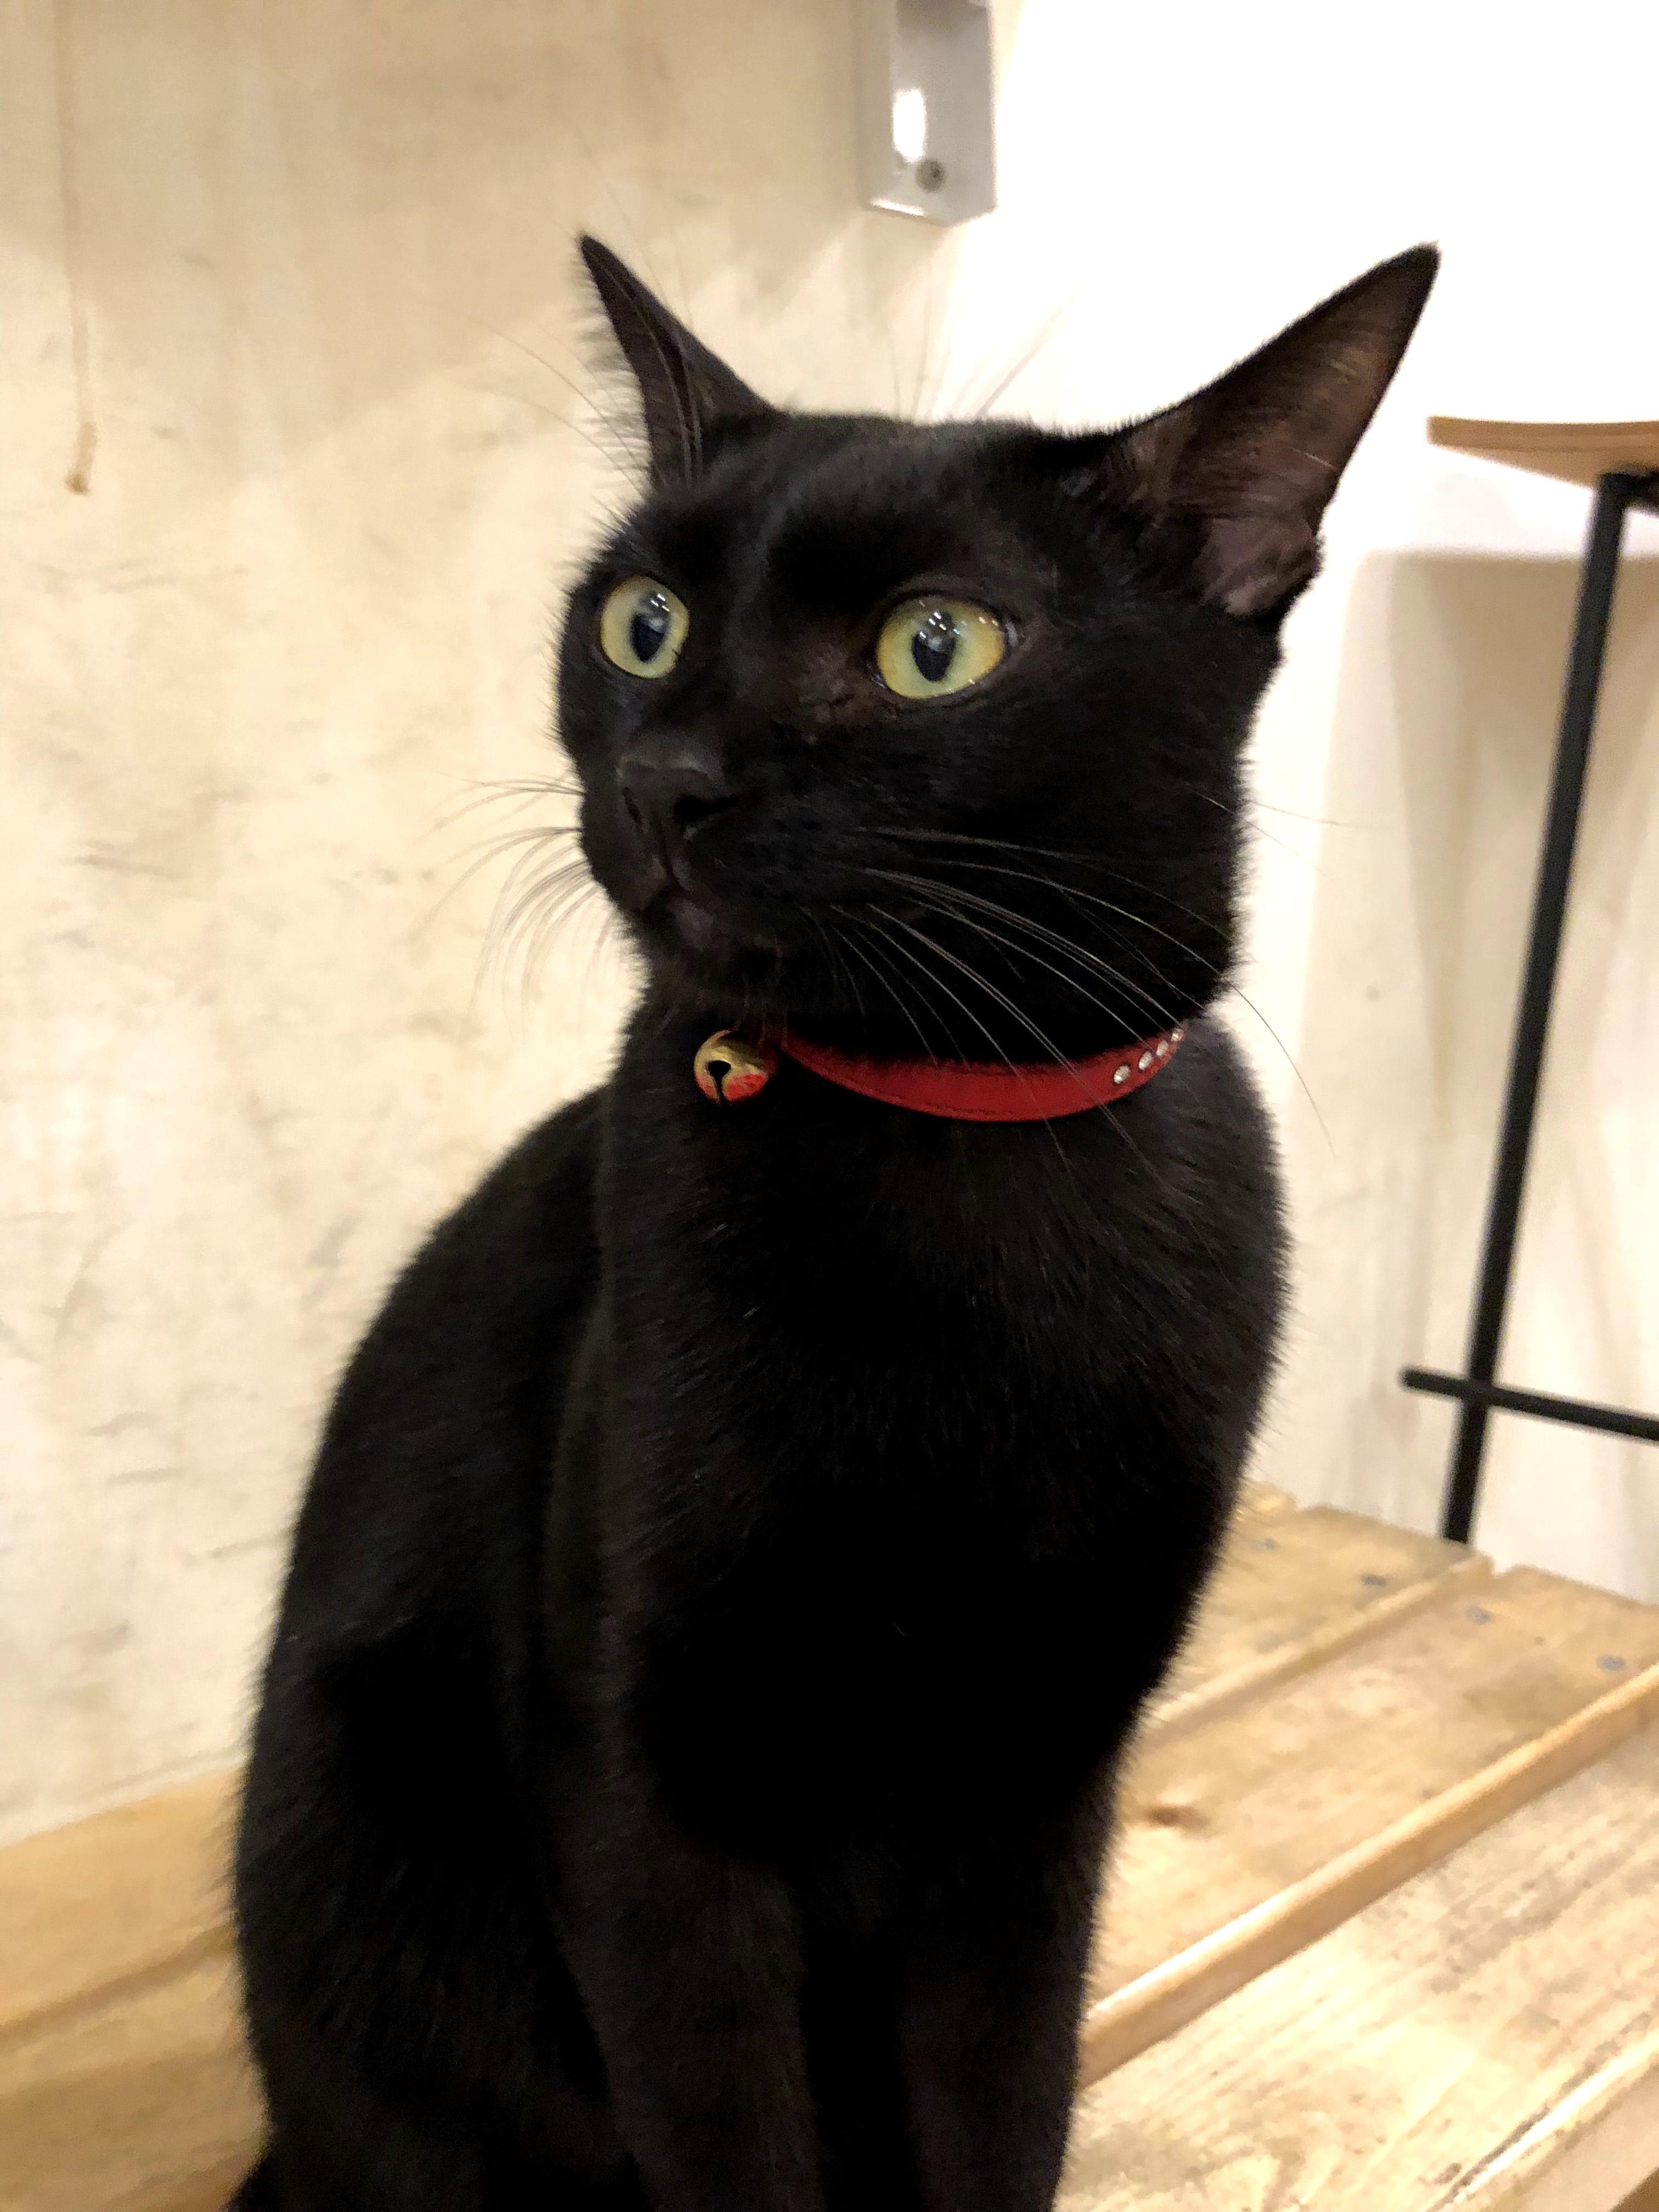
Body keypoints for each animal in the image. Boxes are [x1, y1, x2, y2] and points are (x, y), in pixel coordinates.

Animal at [231, 236, 1436, 2211]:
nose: (666, 781)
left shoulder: (1035, 1791)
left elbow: (1000, 2116)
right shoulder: (645, 1788)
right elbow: (730, 2141)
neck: (956, 1159)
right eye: (640, 625)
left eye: (934, 649)